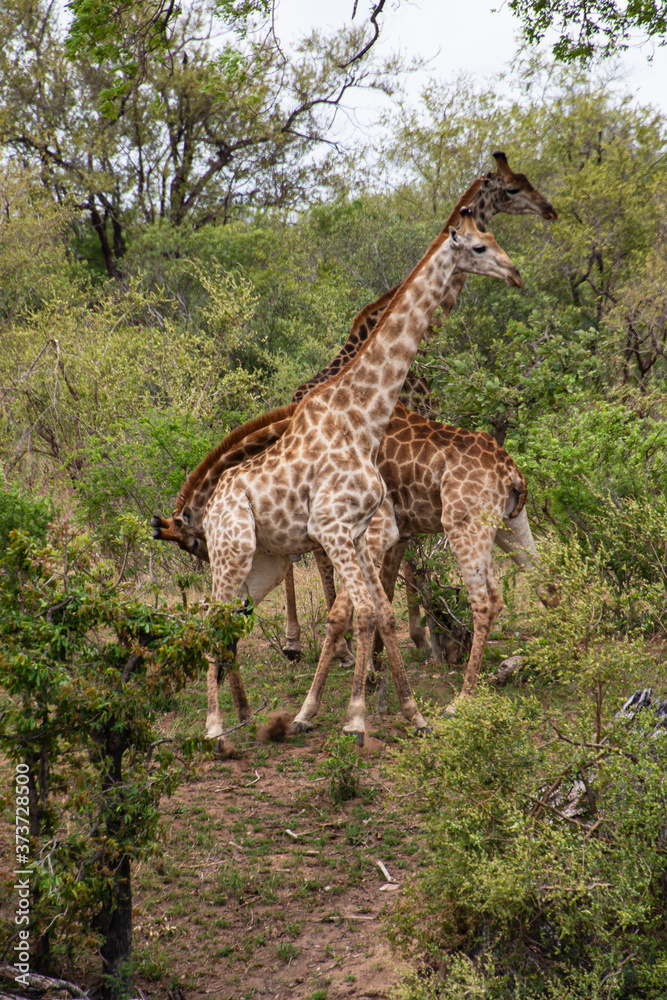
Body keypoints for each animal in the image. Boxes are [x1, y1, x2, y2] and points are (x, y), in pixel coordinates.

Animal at [198, 209, 521, 742]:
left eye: (494, 237)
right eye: (478, 248)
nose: (515, 273)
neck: (363, 417)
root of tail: (207, 508)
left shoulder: (358, 529)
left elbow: (380, 611)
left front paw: (410, 713)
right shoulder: (330, 526)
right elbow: (366, 611)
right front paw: (353, 717)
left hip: (260, 562)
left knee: (228, 619)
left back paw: (242, 715)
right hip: (232, 548)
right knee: (211, 617)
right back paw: (215, 726)